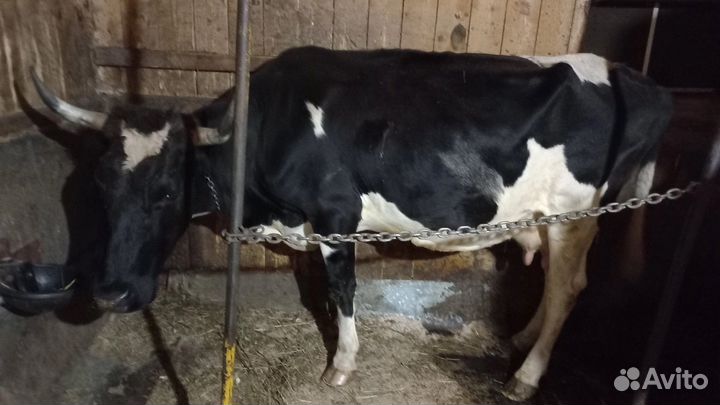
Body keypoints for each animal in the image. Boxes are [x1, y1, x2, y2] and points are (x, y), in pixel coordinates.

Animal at [30, 46, 671, 400]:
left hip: (575, 215)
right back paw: (518, 340)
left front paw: (341, 366)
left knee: (568, 288)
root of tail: (631, 76)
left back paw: (526, 377)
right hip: (549, 218)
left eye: (164, 191)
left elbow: (341, 291)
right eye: (100, 187)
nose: (110, 294)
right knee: (552, 283)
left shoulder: (335, 216)